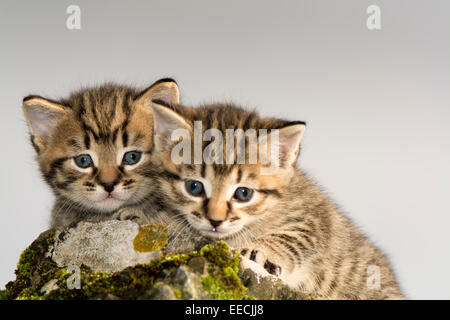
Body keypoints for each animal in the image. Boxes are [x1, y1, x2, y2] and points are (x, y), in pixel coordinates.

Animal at [144, 102, 404, 300]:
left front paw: (260, 251)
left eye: (243, 194)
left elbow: (295, 236)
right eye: (194, 187)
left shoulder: (314, 217)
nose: (215, 220)